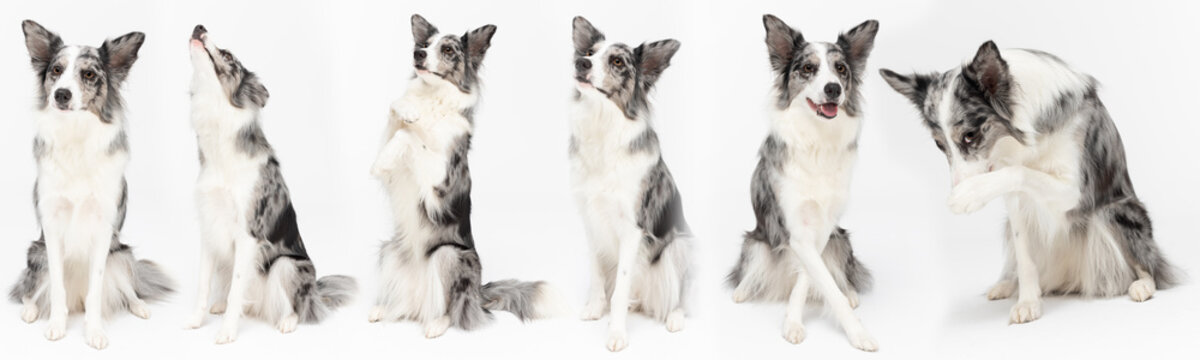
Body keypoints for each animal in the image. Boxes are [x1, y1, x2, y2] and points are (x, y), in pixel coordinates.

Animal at [10, 18, 175, 348]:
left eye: (88, 74)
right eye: (56, 70)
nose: (61, 94)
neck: (76, 135)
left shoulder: (103, 228)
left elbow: (96, 291)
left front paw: (94, 331)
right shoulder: (51, 227)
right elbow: (56, 286)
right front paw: (56, 325)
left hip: (121, 253)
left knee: (127, 287)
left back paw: (139, 305)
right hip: (35, 253)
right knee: (29, 289)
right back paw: (31, 309)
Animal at [184, 25, 355, 343]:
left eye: (228, 56)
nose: (199, 27)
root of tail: (316, 294)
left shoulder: (248, 235)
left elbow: (238, 289)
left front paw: (227, 331)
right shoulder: (209, 229)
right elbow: (202, 284)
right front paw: (196, 321)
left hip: (288, 265)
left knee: (296, 306)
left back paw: (287, 320)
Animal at [372, 14, 564, 338]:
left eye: (448, 50)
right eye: (424, 44)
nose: (418, 54)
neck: (435, 98)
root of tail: (479, 291)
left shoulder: (440, 183)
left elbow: (410, 137)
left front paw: (403, 136)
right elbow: (395, 118)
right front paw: (403, 118)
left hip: (449, 255)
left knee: (454, 308)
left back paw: (437, 323)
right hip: (390, 249)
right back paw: (385, 309)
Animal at [571, 16, 696, 350]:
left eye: (617, 61)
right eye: (589, 52)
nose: (580, 63)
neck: (604, 125)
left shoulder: (632, 228)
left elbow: (621, 287)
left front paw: (616, 333)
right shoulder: (589, 218)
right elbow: (597, 274)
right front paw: (594, 307)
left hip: (679, 245)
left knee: (679, 292)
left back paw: (675, 316)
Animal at [878, 41, 1176, 324]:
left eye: (970, 135)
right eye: (939, 145)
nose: (957, 187)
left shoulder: (1077, 191)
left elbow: (1019, 172)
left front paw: (967, 195)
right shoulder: (1017, 207)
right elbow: (1025, 259)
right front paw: (1028, 303)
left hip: (1116, 212)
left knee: (1151, 266)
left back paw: (1143, 285)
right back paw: (1006, 285)